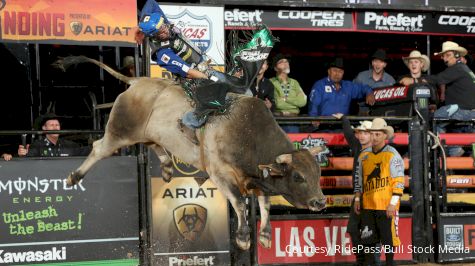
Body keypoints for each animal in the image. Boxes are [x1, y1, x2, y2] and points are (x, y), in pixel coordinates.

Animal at [54, 55, 326, 250]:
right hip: (121, 130)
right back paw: (74, 177)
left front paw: (266, 236)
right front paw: (242, 238)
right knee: (100, 148)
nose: (320, 201)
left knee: (153, 144)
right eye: (298, 176)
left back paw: (166, 168)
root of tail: (138, 82)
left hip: (148, 132)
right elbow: (239, 202)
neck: (246, 133)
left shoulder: (256, 177)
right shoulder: (220, 174)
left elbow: (265, 204)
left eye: (318, 174)